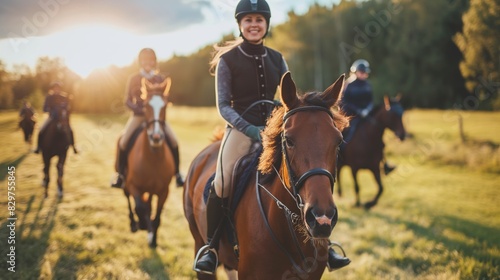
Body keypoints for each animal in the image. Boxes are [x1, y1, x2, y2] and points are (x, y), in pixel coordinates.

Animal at [121, 76, 175, 247]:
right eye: (145, 106)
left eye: (165, 105)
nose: (156, 137)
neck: (153, 159)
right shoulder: (132, 185)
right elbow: (139, 206)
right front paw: (143, 224)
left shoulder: (164, 192)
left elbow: (157, 217)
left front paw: (153, 238)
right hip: (125, 185)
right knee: (129, 200)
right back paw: (134, 223)